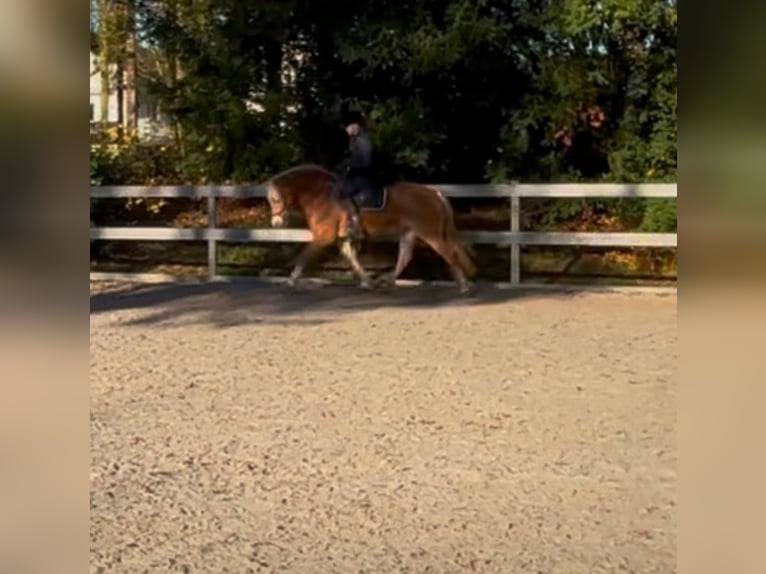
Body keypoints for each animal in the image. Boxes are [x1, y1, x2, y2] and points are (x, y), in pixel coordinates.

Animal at [266, 164, 480, 294]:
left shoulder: (323, 237)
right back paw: (387, 281)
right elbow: (352, 259)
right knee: (405, 257)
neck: (320, 196)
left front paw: (291, 280)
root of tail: (434, 192)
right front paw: (366, 281)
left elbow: (304, 255)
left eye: (275, 198)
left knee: (450, 254)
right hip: (409, 233)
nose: (276, 224)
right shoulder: (343, 239)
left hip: (431, 234)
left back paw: (464, 286)